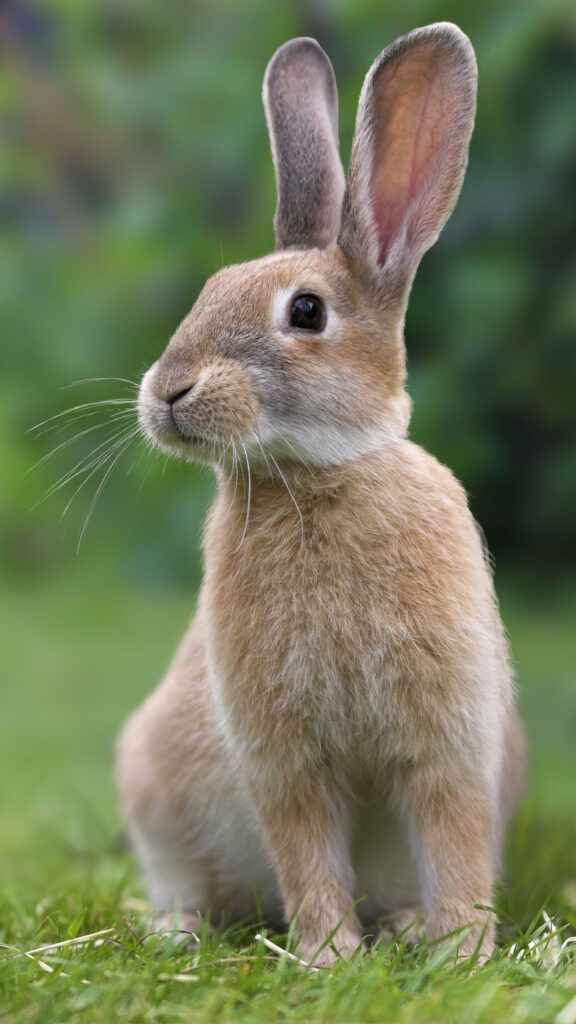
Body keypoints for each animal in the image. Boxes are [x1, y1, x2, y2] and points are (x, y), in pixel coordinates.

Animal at [116, 23, 525, 967]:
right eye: (208, 291)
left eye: (306, 312)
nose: (168, 392)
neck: (318, 475)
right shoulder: (283, 755)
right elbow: (305, 849)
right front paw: (328, 956)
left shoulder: (450, 739)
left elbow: (453, 838)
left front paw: (460, 950)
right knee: (187, 883)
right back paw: (177, 932)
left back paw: (406, 926)